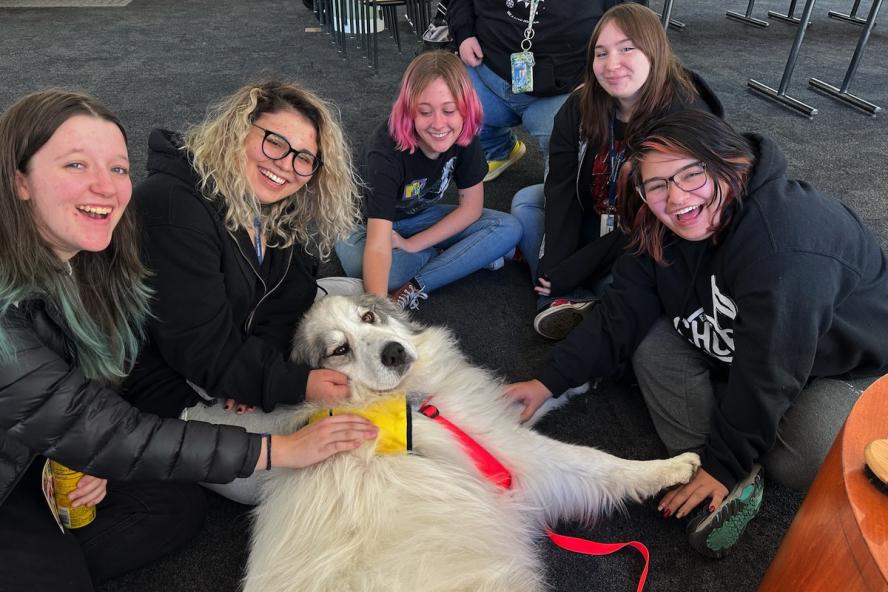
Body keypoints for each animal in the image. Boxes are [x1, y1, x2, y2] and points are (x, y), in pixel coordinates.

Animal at [245, 296, 700, 592]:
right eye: (339, 349)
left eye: (369, 316)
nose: (394, 352)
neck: (408, 400)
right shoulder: (519, 456)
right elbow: (597, 462)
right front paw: (670, 468)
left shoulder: (492, 419)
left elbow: (531, 397)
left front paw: (579, 380)